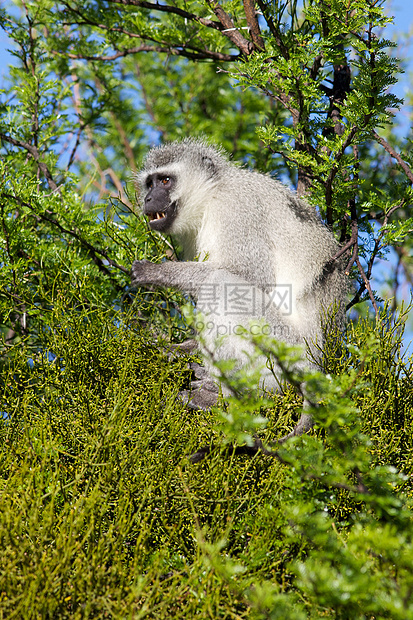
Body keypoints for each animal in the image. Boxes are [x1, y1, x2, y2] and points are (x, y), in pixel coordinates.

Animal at [130, 136, 346, 436]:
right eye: (149, 184)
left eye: (165, 181)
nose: (148, 199)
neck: (210, 199)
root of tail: (320, 362)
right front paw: (178, 348)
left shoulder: (237, 208)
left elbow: (250, 275)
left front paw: (155, 272)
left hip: (288, 347)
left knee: (220, 284)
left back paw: (230, 393)